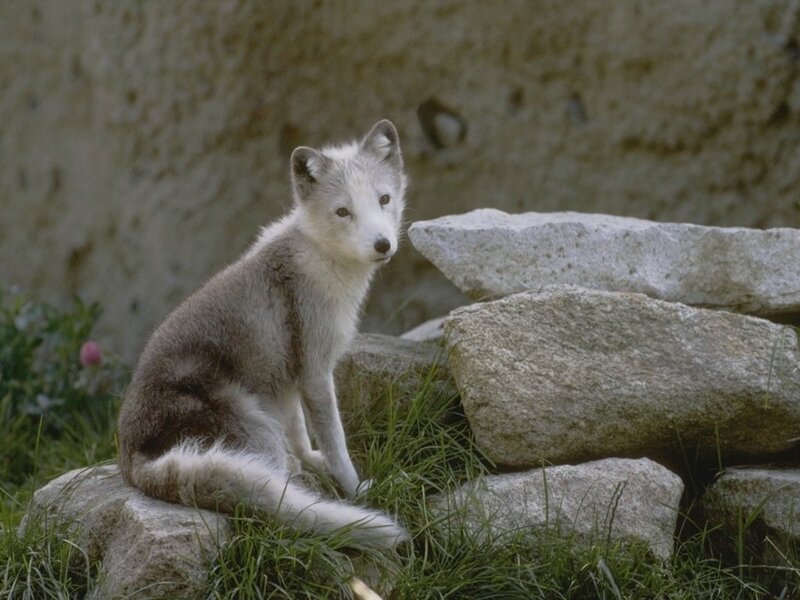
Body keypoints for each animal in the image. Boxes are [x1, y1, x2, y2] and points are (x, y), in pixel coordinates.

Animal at [117, 120, 408, 549]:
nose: (382, 244)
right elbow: (335, 443)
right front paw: (354, 489)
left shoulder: (286, 379)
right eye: (343, 211)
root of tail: (131, 460)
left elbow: (302, 434)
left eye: (384, 199)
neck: (316, 255)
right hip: (253, 423)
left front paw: (316, 461)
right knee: (275, 500)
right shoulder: (314, 370)